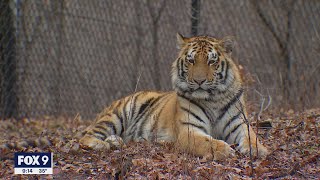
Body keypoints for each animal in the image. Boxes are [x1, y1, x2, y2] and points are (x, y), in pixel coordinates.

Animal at [79, 33, 268, 160]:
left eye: (211, 61)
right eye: (191, 60)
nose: (199, 81)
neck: (213, 99)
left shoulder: (239, 124)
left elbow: (252, 136)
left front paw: (259, 150)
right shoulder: (189, 130)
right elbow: (208, 142)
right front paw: (225, 150)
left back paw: (116, 141)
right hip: (116, 115)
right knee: (85, 137)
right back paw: (102, 144)